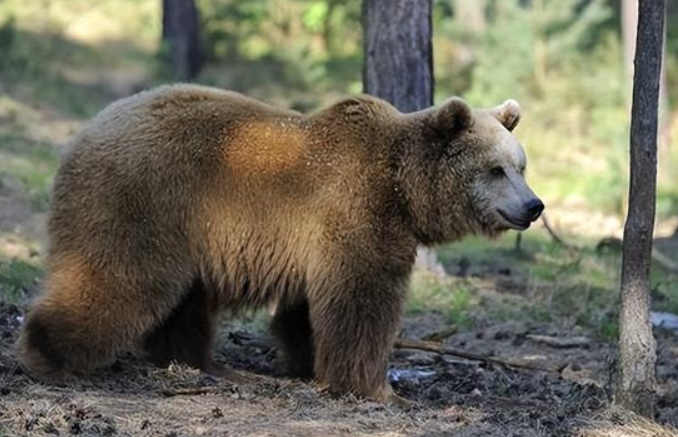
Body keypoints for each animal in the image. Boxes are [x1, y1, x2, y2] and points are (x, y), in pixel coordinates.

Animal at [16, 84, 543, 402]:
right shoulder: (357, 210)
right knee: (121, 278)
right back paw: (50, 355)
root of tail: (84, 133)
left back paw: (200, 365)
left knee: (184, 303)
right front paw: (375, 387)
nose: (534, 205)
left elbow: (307, 311)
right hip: (146, 202)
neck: (403, 190)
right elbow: (362, 301)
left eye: (521, 166)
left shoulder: (320, 238)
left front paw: (310, 364)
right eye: (495, 170)